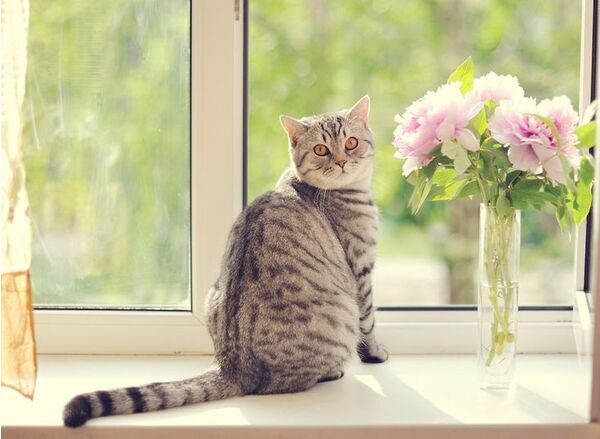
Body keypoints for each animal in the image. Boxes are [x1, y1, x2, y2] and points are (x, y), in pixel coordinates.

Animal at [63, 96, 386, 430]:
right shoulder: (361, 268)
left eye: (351, 142)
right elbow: (369, 322)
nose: (342, 161)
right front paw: (376, 353)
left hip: (212, 293)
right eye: (321, 149)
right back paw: (332, 370)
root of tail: (231, 365)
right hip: (340, 313)